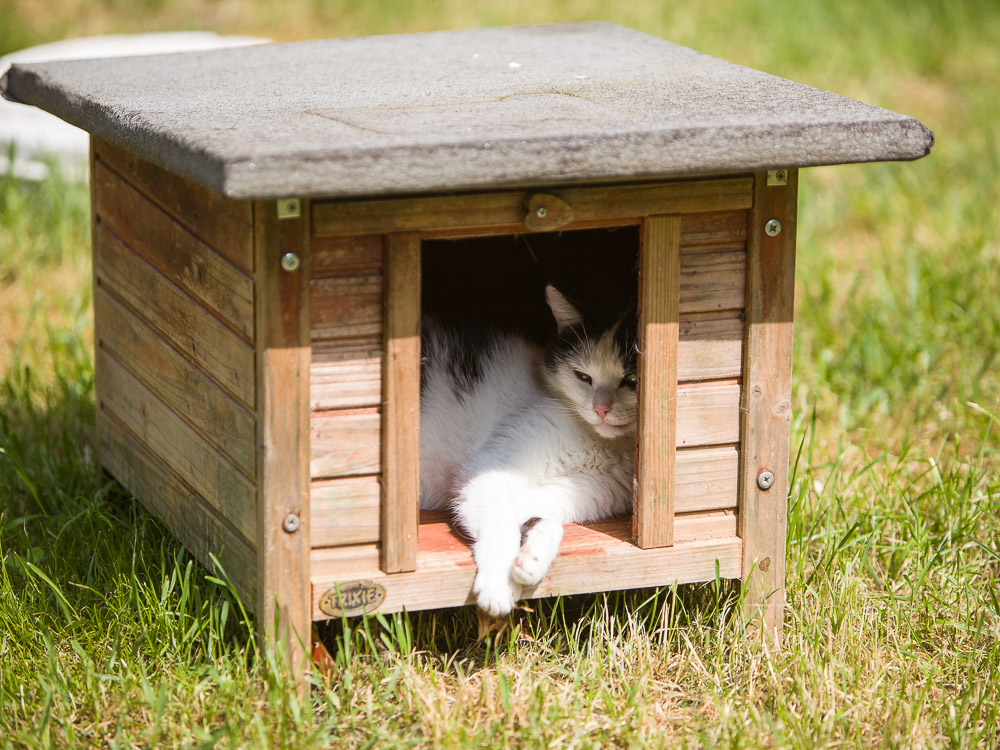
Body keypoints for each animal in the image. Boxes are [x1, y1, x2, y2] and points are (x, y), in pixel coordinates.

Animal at [418, 286, 636, 616]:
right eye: (582, 377)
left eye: (632, 380)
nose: (601, 408)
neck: (605, 446)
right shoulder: (488, 472)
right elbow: (501, 525)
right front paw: (498, 585)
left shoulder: (567, 494)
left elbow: (545, 519)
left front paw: (532, 558)